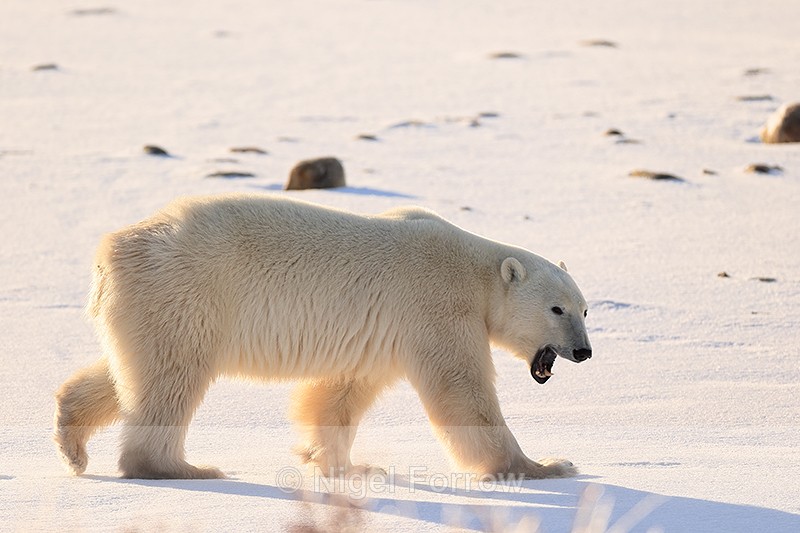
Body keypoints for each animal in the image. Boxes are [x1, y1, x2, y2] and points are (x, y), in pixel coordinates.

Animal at [54, 194, 592, 480]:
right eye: (557, 308)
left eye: (586, 308)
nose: (583, 351)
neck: (474, 271)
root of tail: (109, 253)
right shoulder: (436, 306)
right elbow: (463, 394)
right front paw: (549, 465)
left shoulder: (379, 332)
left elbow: (339, 393)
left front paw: (345, 467)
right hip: (189, 295)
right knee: (170, 380)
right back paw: (183, 468)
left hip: (153, 309)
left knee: (132, 372)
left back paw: (71, 435)